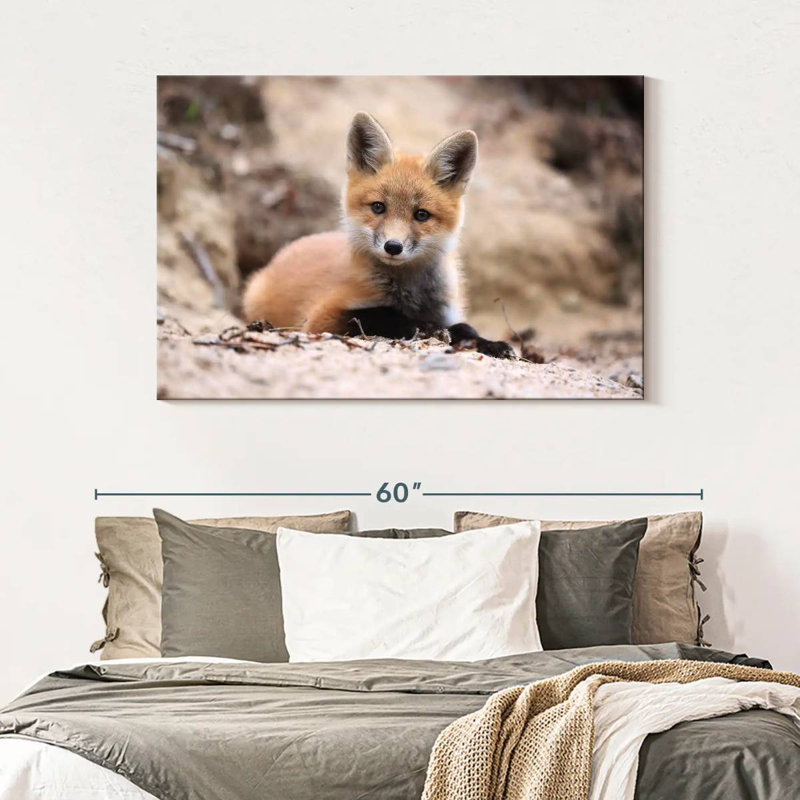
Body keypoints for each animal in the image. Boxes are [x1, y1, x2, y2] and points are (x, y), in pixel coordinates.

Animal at [242, 112, 514, 358]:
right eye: (378, 207)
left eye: (421, 214)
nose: (393, 246)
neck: (410, 294)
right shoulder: (321, 318)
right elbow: (383, 315)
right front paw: (427, 328)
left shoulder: (448, 311)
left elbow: (467, 328)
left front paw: (492, 344)